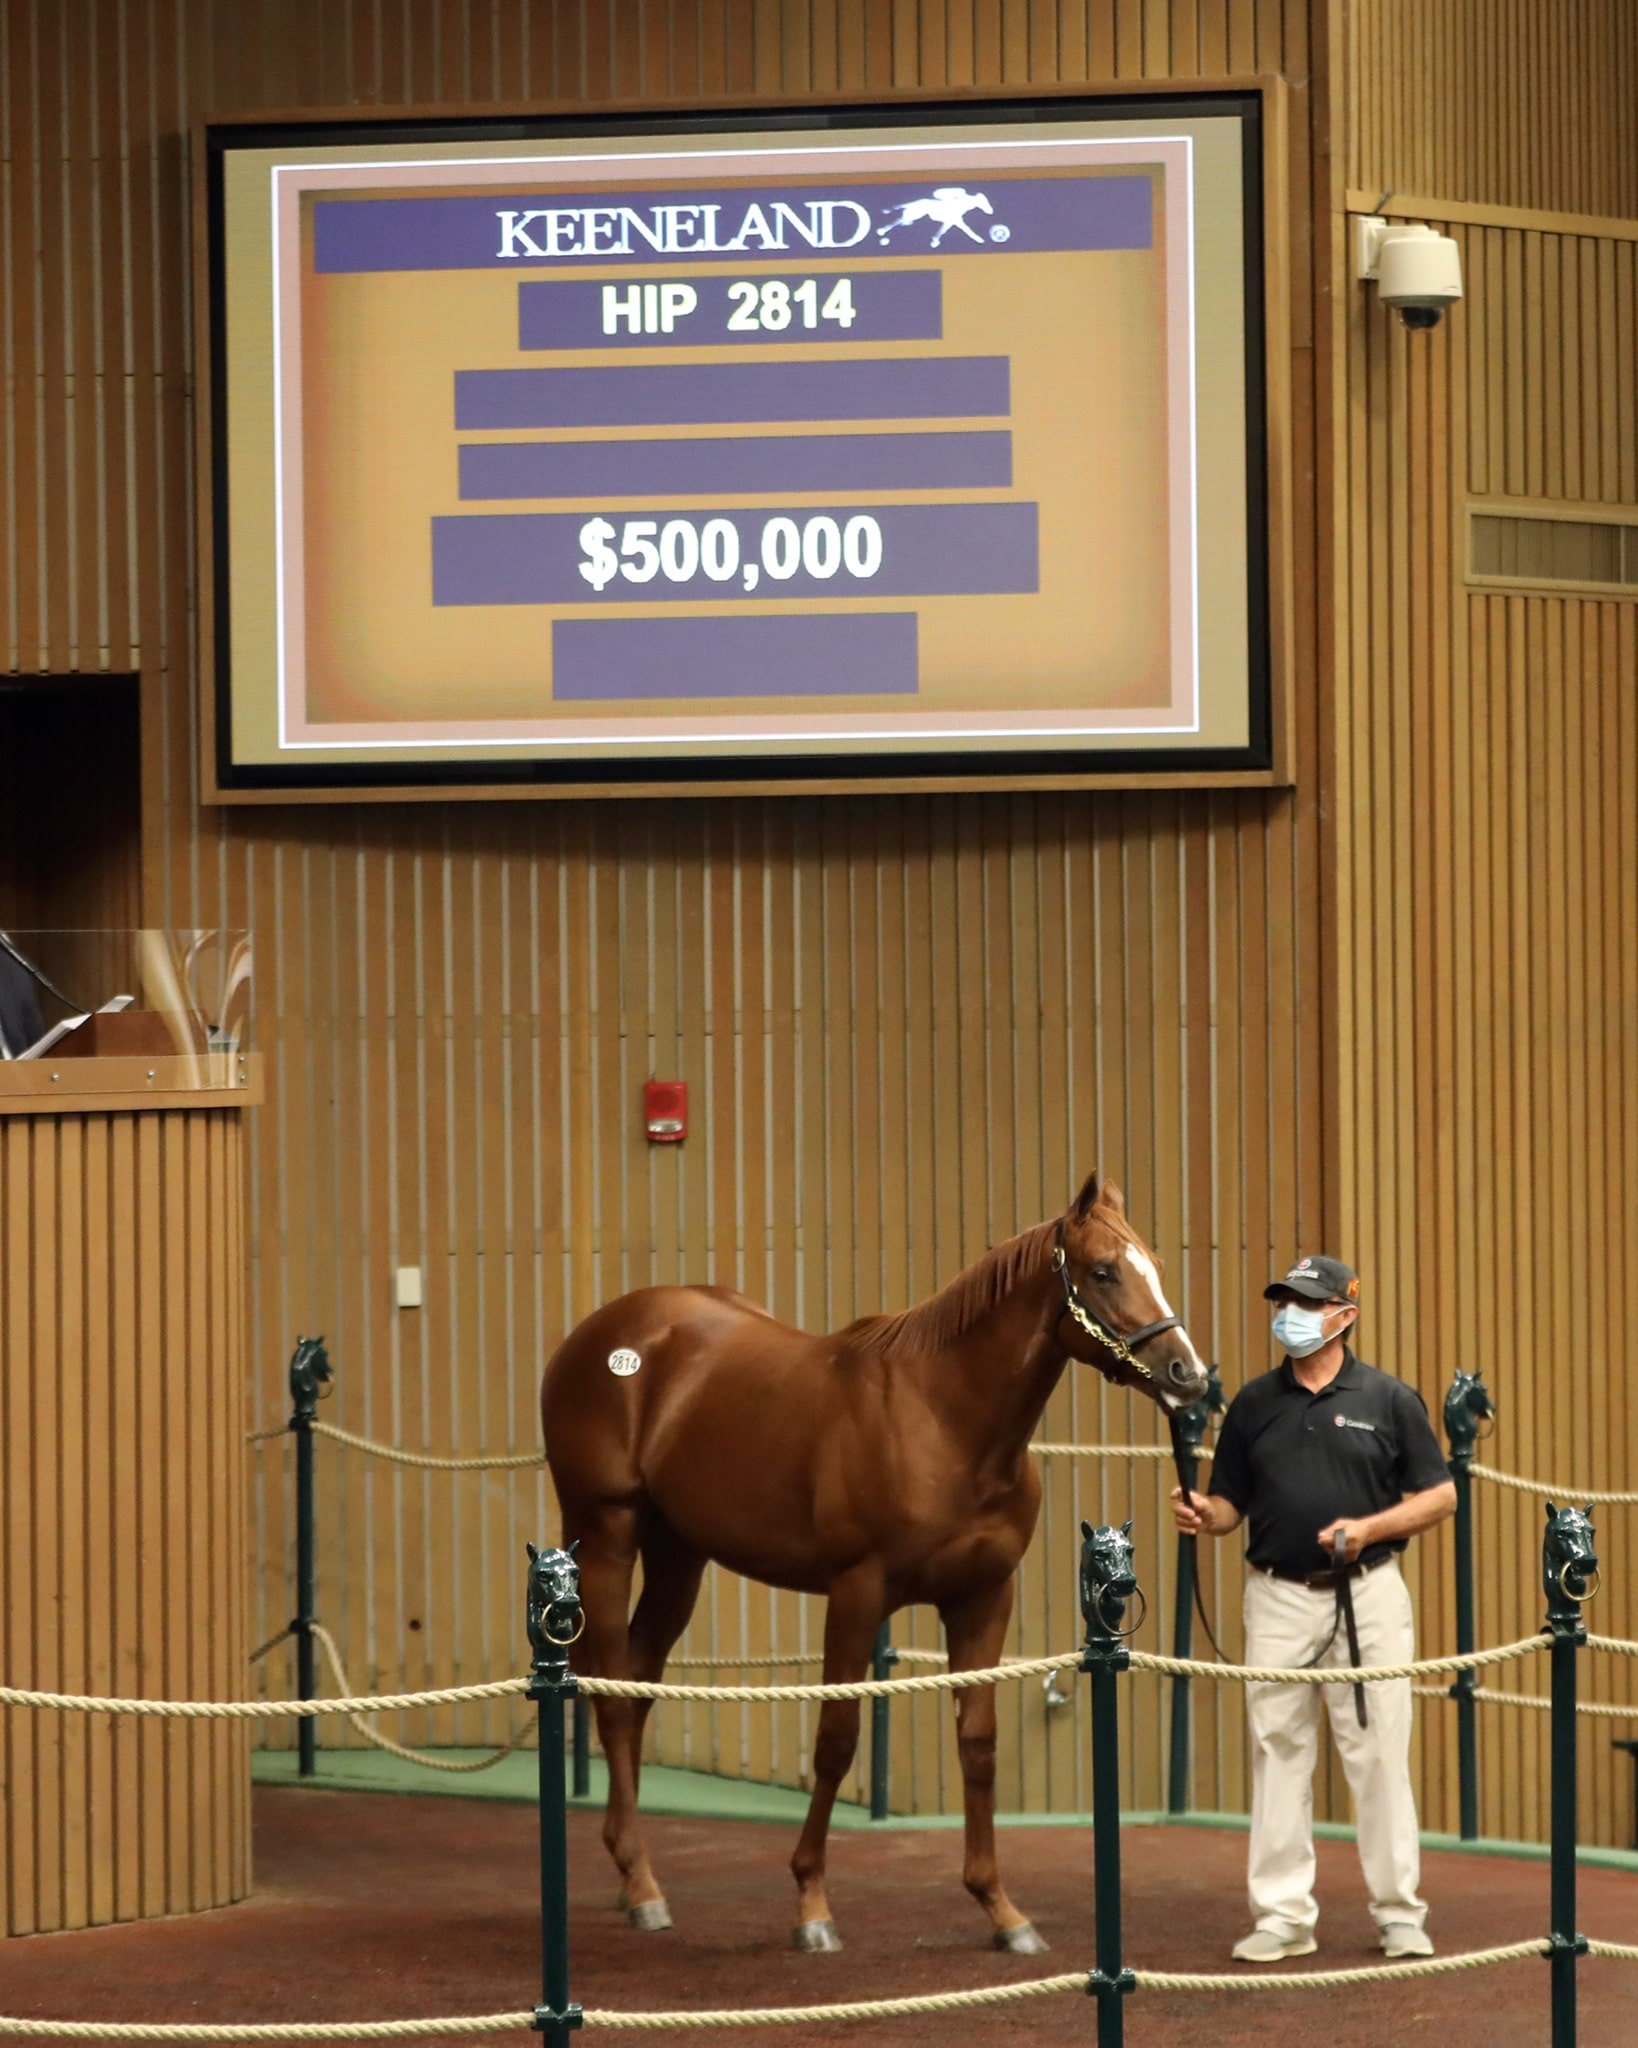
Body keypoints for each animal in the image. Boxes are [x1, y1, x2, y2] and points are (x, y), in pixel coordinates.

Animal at [540, 1171, 1203, 1949]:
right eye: (1103, 1271)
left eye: (1152, 1264)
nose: (1189, 1374)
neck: (945, 1422)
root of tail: (601, 1334)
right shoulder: (857, 1594)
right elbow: (837, 1737)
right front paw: (812, 1905)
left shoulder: (984, 1597)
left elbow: (978, 1741)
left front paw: (1000, 1908)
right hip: (606, 1533)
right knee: (613, 1695)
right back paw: (642, 1885)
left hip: (680, 1554)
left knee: (640, 1684)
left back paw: (628, 1872)